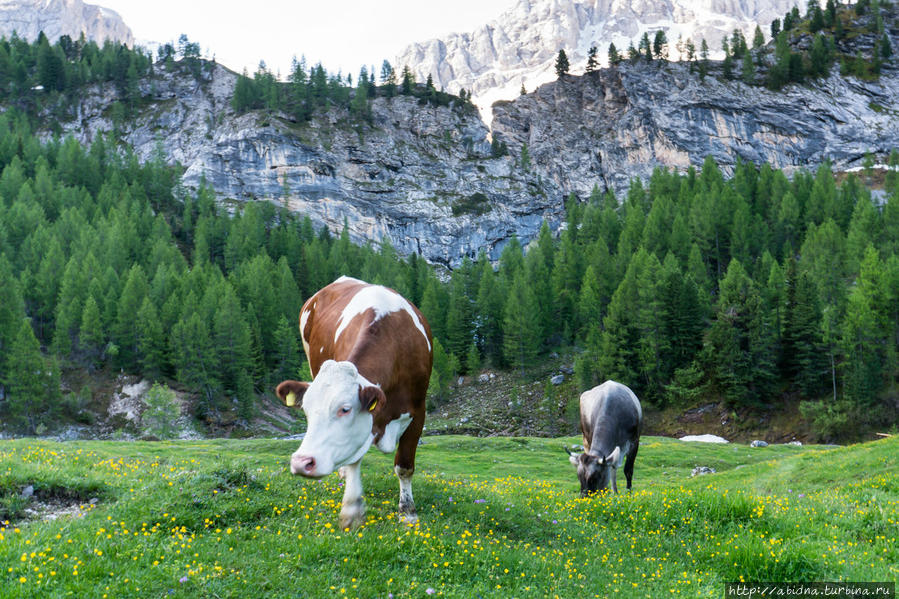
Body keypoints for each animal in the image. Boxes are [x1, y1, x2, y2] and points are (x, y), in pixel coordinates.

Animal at [276, 276, 434, 528]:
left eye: (345, 409)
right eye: (306, 412)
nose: (301, 463)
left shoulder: (418, 411)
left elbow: (404, 465)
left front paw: (408, 511)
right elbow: (354, 460)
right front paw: (351, 508)